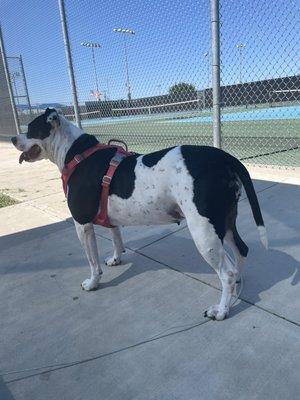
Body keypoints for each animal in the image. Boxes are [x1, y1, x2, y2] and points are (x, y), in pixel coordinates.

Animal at [11, 108, 268, 320]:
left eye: (31, 128)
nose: (13, 138)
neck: (76, 154)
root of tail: (224, 157)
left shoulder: (82, 224)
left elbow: (92, 262)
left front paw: (93, 283)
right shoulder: (110, 217)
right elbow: (116, 238)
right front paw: (116, 259)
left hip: (203, 231)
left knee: (226, 272)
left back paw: (221, 309)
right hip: (224, 222)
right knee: (240, 252)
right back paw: (236, 286)